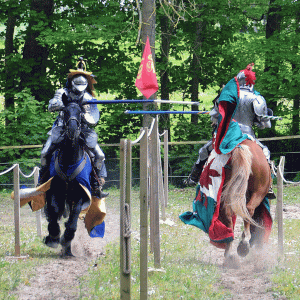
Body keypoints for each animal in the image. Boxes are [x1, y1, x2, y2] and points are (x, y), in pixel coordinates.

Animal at [43, 102, 92, 256]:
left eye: (80, 113)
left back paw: (68, 249)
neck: (69, 160)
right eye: (65, 112)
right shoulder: (55, 191)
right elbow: (53, 209)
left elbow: (74, 216)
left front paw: (66, 239)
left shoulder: (80, 194)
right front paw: (53, 237)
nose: (72, 129)